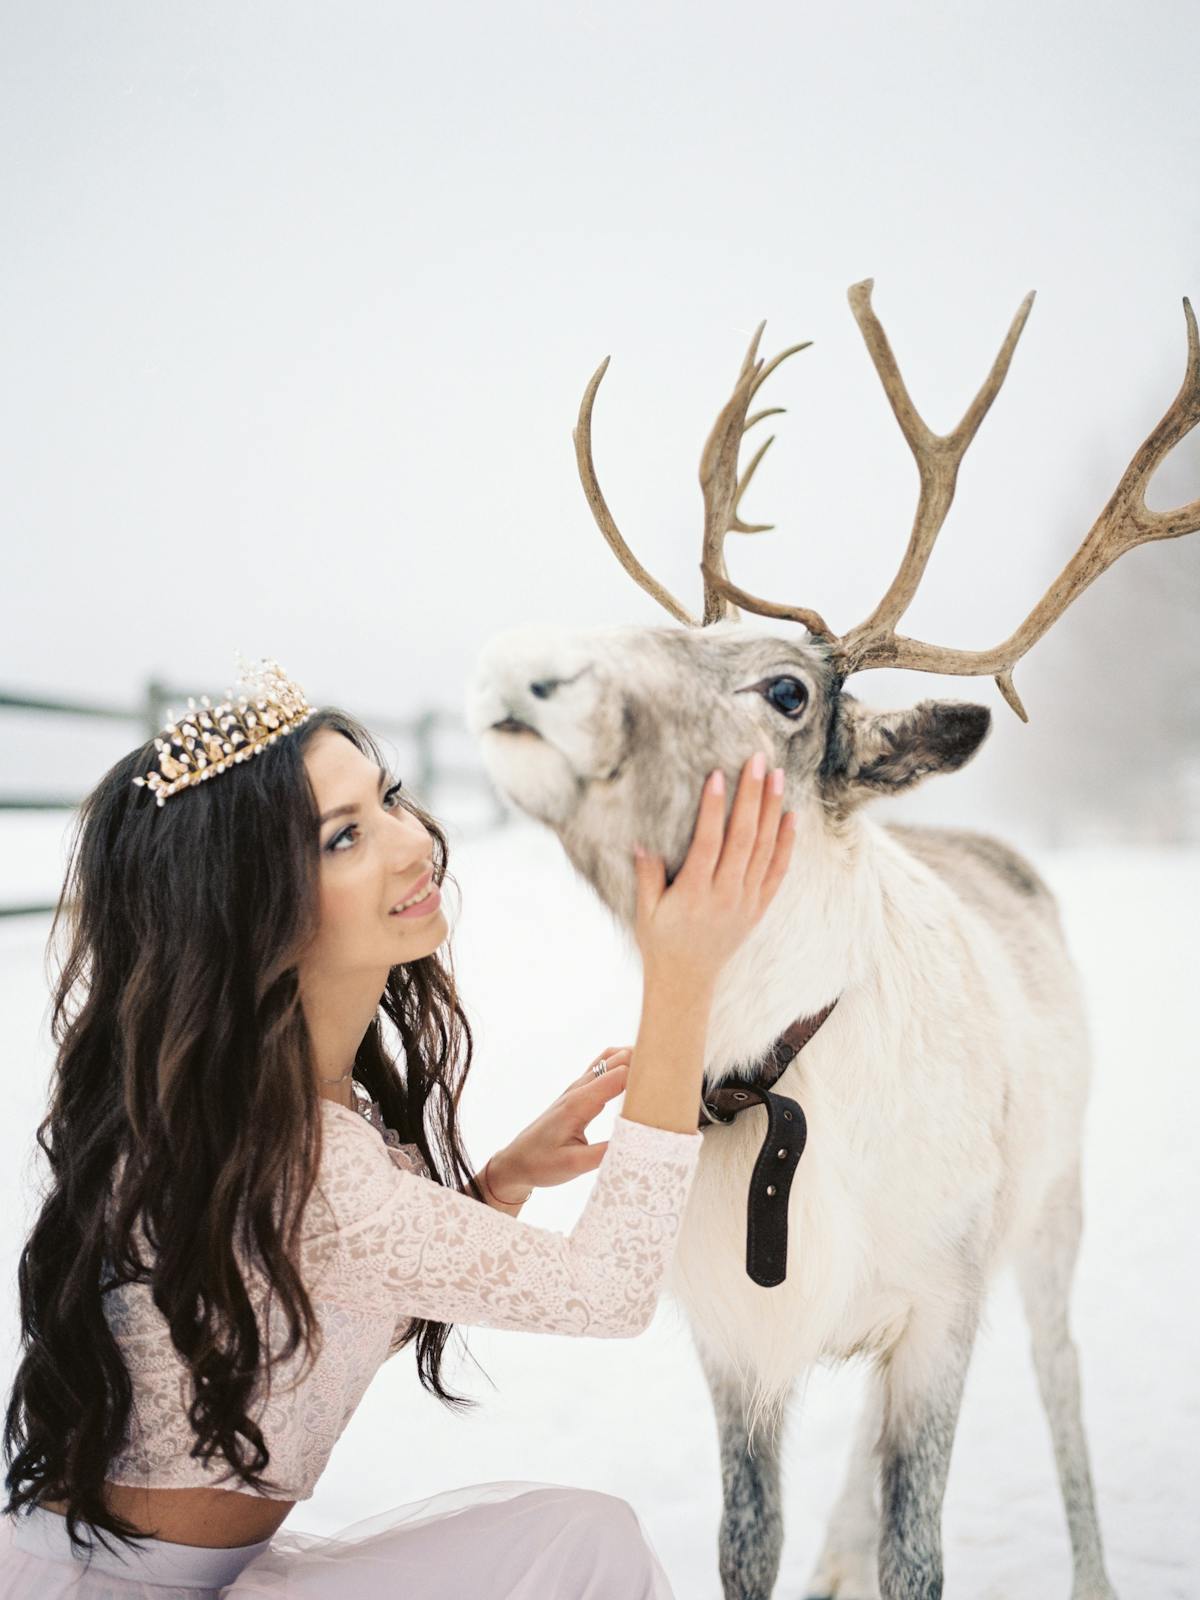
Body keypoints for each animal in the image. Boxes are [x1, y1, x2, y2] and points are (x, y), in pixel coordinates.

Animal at [463, 280, 1200, 1600]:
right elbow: (745, 1545)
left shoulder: (941, 1310)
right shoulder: (738, 1342)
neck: (779, 1059)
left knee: (1062, 1378)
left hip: (1052, 1207)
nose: (522, 664)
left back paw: (1092, 1570)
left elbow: (923, 1556)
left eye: (788, 690)